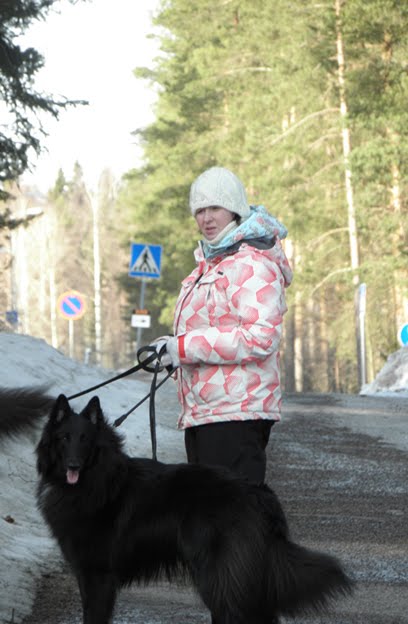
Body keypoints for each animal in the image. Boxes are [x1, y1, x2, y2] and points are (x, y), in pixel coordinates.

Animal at [31, 392, 352, 620]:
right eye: (64, 438)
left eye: (85, 439)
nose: (73, 465)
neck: (97, 480)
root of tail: (259, 492)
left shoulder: (97, 576)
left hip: (219, 575)